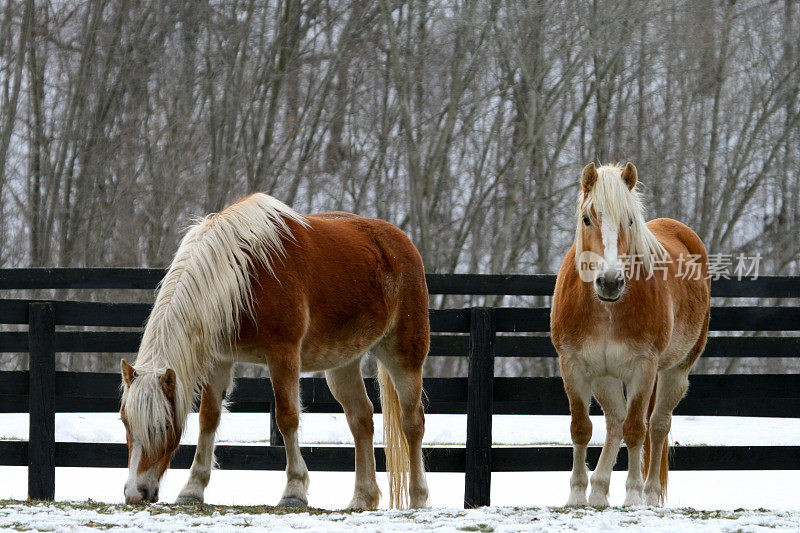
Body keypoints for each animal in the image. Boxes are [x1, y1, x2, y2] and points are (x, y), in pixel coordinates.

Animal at [118, 193, 428, 510]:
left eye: (164, 427)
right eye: (126, 423)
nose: (135, 493)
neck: (243, 274)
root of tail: (400, 242)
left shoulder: (283, 353)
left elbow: (287, 417)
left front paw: (294, 490)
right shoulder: (220, 360)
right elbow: (208, 419)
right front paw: (192, 489)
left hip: (403, 355)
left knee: (412, 422)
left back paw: (418, 498)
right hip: (343, 363)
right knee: (361, 419)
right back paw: (362, 498)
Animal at [552, 163, 712, 508]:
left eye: (629, 220)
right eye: (587, 218)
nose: (610, 281)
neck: (606, 309)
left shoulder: (643, 368)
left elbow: (637, 430)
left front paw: (634, 496)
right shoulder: (573, 365)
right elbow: (581, 428)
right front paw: (576, 495)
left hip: (674, 371)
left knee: (658, 426)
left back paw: (650, 495)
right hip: (605, 376)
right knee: (615, 422)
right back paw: (598, 491)